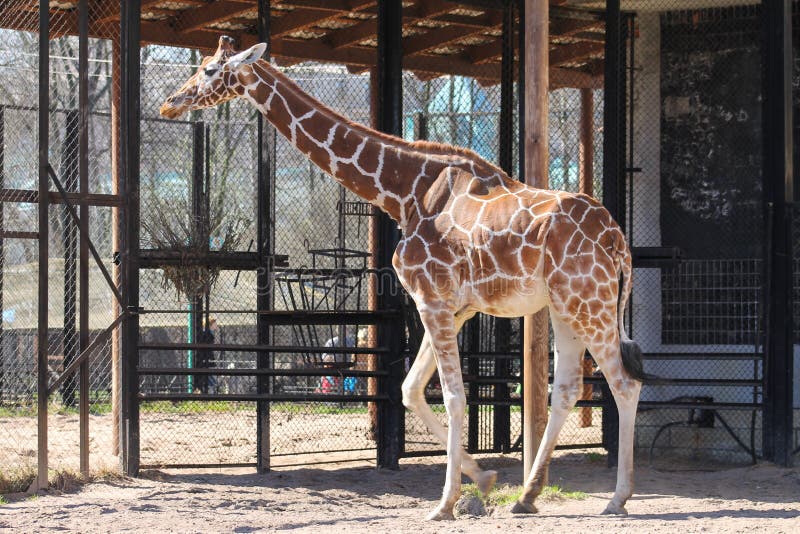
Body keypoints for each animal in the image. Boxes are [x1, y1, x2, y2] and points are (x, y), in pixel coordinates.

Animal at [159, 37, 648, 524]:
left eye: (208, 70)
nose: (170, 103)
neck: (404, 191)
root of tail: (618, 240)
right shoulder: (452, 307)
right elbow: (411, 389)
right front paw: (484, 478)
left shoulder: (432, 298)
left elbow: (452, 396)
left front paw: (445, 503)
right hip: (567, 306)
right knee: (566, 390)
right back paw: (528, 496)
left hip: (589, 303)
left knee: (625, 383)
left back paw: (617, 498)